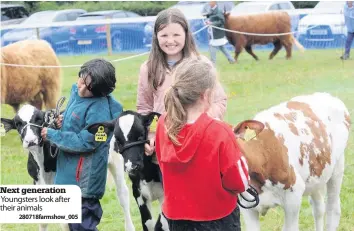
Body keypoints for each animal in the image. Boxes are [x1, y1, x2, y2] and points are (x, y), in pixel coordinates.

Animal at [234, 92, 350, 231]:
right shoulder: (247, 207)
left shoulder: (293, 197)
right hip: (316, 174)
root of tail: (326, 95)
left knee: (333, 209)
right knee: (318, 207)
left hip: (337, 167)